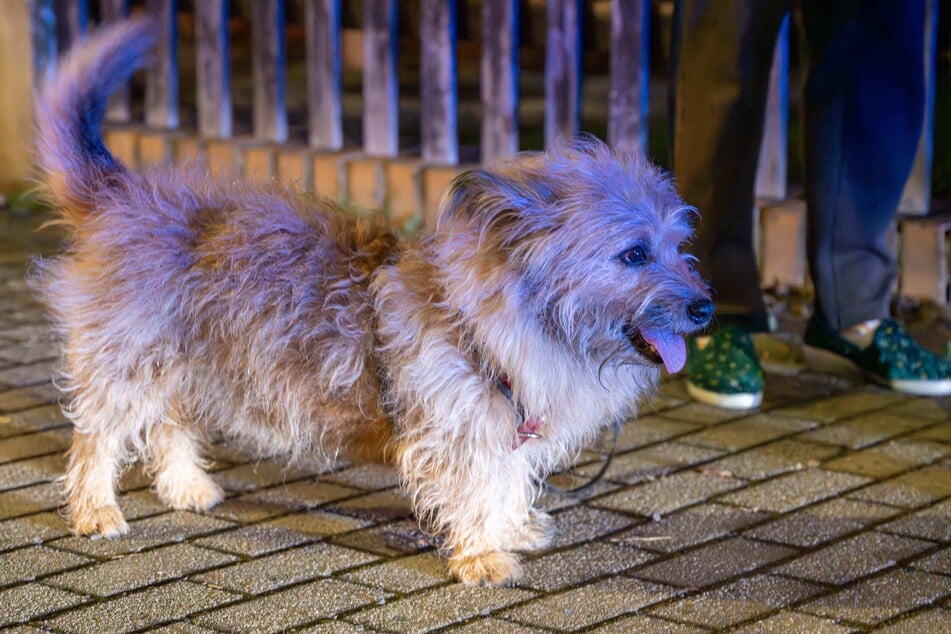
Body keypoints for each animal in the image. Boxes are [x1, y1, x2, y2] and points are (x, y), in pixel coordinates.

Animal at [31, 19, 712, 584]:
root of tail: (121, 195)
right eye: (633, 254)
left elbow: (506, 482)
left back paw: (186, 486)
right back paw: (94, 509)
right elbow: (476, 488)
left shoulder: (505, 424)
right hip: (131, 360)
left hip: (187, 362)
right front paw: (482, 555)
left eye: (679, 246)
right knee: (98, 435)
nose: (706, 308)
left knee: (168, 421)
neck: (501, 316)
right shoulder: (459, 429)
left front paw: (511, 530)